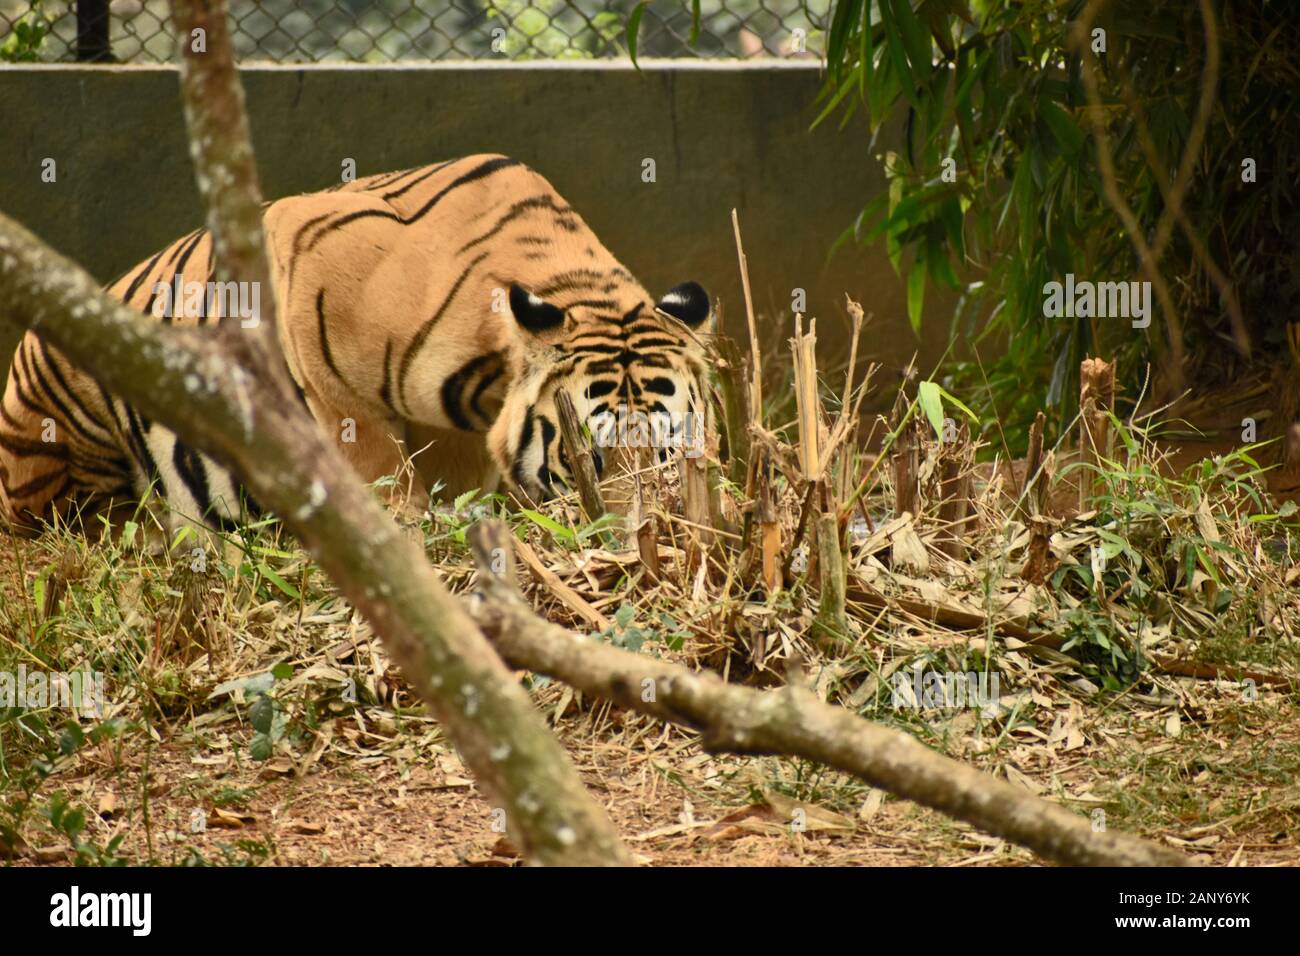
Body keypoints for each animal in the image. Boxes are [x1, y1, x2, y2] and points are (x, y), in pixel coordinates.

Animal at [0, 153, 712, 535]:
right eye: (594, 461)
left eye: (670, 457)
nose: (637, 535)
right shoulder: (306, 285)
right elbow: (369, 457)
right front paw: (399, 530)